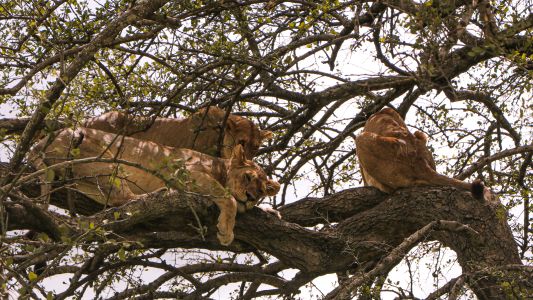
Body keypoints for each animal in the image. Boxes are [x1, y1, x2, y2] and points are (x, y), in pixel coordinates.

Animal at [29, 127, 280, 245]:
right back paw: (160, 193)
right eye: (247, 177)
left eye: (261, 191)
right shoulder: (187, 172)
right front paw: (226, 232)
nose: (250, 196)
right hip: (105, 160)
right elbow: (228, 198)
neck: (220, 165)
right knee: (126, 200)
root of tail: (41, 142)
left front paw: (270, 211)